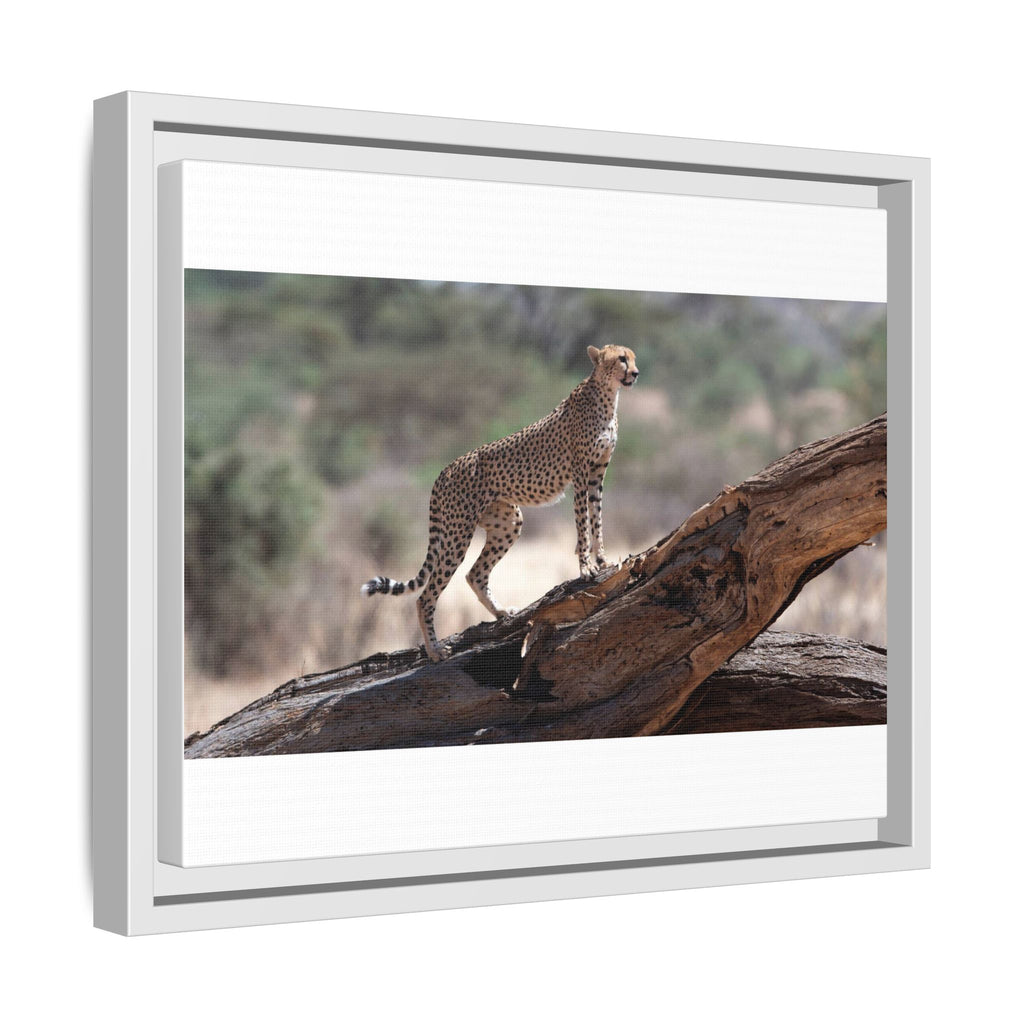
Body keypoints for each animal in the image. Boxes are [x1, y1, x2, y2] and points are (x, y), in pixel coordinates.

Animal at [362, 344, 639, 661]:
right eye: (621, 359)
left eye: (633, 358)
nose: (635, 373)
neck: (607, 395)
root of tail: (446, 469)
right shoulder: (581, 474)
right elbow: (583, 523)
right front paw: (586, 567)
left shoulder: (597, 475)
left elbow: (597, 518)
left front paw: (603, 559)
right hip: (457, 533)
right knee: (426, 595)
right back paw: (435, 651)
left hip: (507, 522)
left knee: (475, 574)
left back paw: (502, 613)